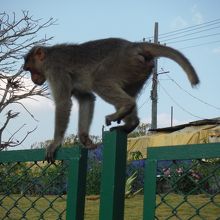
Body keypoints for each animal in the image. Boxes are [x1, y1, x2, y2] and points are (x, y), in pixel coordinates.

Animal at [23, 37, 200, 162]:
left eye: (30, 69)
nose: (33, 79)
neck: (49, 56)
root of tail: (132, 46)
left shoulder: (55, 70)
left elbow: (63, 103)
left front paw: (55, 142)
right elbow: (87, 98)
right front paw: (84, 138)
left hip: (121, 64)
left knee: (99, 80)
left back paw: (126, 107)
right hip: (139, 69)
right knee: (126, 90)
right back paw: (131, 122)